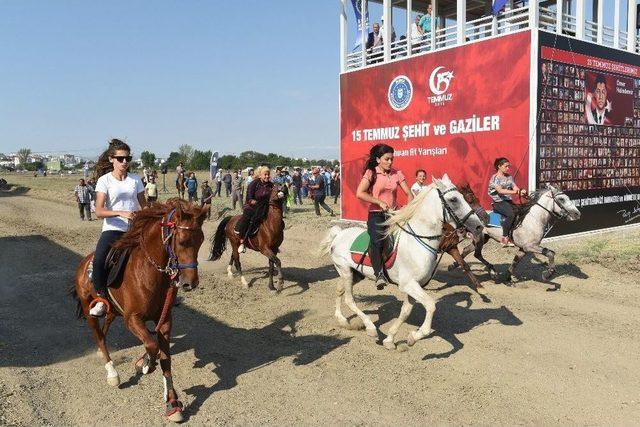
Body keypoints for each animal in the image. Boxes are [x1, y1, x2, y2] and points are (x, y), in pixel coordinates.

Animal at [74, 199, 206, 422]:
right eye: (182, 241)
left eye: (201, 241)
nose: (190, 283)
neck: (149, 271)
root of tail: (84, 264)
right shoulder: (133, 319)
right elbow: (152, 346)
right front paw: (146, 364)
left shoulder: (165, 320)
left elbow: (165, 359)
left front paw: (172, 404)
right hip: (88, 307)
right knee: (99, 336)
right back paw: (112, 373)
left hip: (113, 310)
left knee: (106, 326)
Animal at [322, 175, 482, 352]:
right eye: (454, 199)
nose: (479, 226)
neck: (417, 241)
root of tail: (338, 235)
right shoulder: (408, 284)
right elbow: (431, 306)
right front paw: (413, 337)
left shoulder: (415, 285)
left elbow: (405, 312)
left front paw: (390, 340)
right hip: (346, 271)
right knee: (349, 299)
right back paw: (370, 328)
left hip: (354, 274)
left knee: (339, 290)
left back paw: (342, 320)